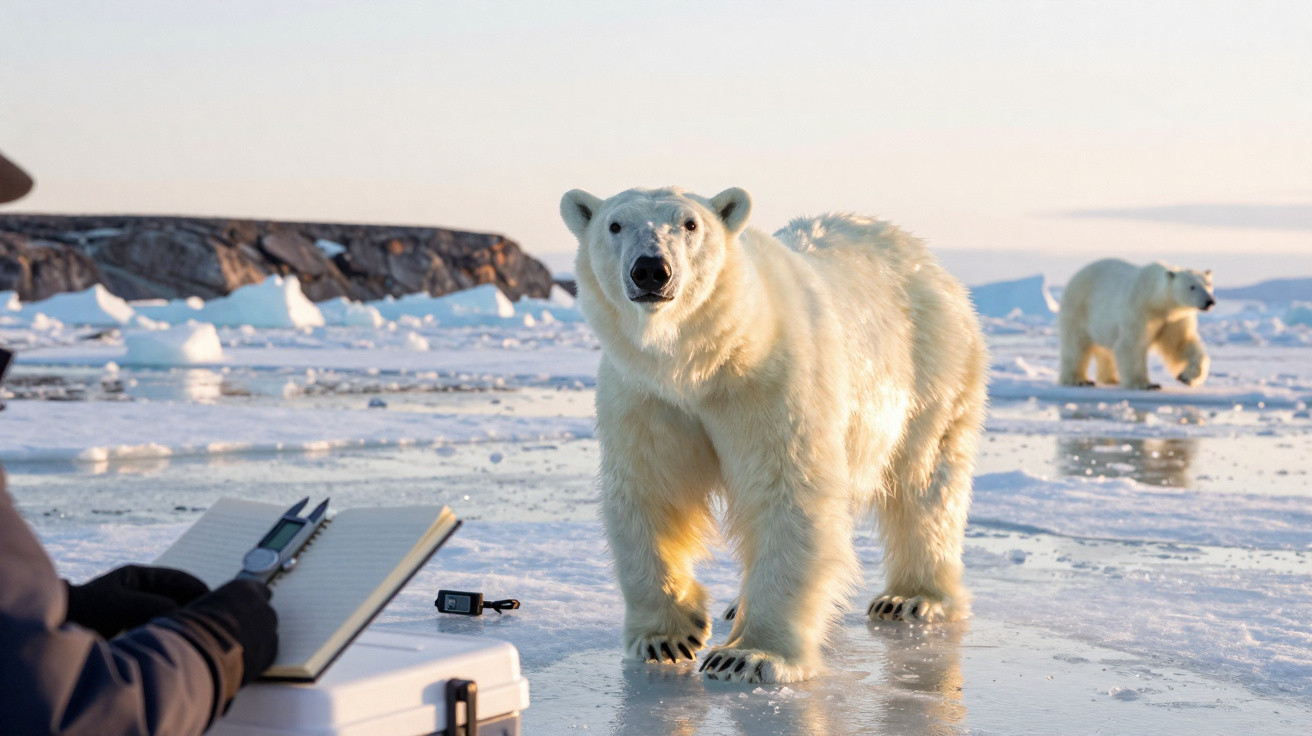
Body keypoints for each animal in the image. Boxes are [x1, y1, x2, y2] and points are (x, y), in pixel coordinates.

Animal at [559, 186, 988, 684]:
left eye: (690, 224)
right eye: (614, 225)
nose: (650, 269)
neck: (700, 362)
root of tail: (921, 255)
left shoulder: (770, 381)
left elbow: (787, 493)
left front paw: (747, 656)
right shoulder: (647, 396)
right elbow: (652, 491)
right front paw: (666, 638)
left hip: (933, 364)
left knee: (925, 479)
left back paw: (911, 598)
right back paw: (735, 604)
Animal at [1058, 258, 1215, 391]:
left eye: (1208, 285)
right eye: (1192, 287)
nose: (1210, 301)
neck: (1156, 299)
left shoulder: (1174, 319)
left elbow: (1181, 343)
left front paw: (1186, 377)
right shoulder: (1140, 311)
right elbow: (1132, 345)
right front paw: (1146, 384)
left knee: (1106, 349)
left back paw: (1112, 379)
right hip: (1079, 308)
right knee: (1076, 345)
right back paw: (1079, 380)